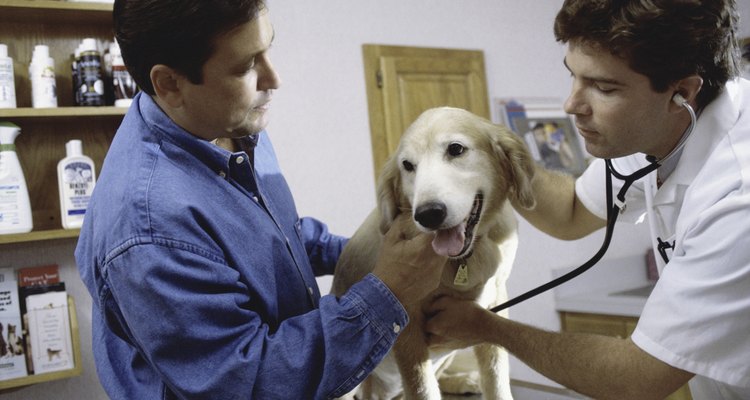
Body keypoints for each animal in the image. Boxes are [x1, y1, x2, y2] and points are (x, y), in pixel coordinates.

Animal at [334, 106, 536, 400]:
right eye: (407, 166)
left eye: (456, 149)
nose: (428, 214)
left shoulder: (492, 306)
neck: (464, 259)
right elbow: (423, 388)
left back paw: (464, 381)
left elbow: (497, 379)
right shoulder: (408, 324)